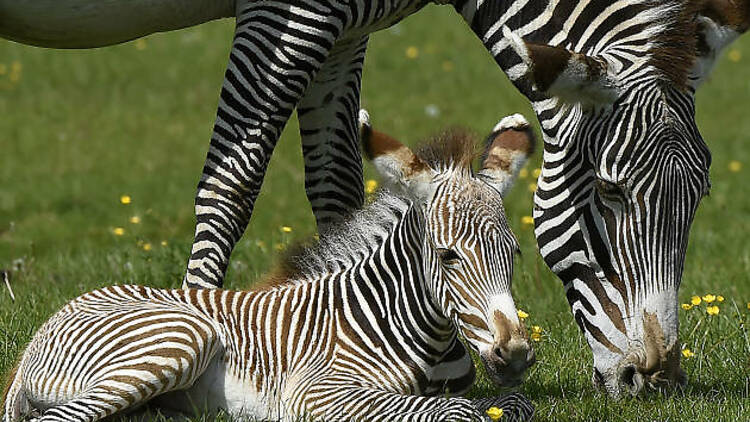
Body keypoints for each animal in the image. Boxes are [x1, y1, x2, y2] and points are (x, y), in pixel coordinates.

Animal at [1, 113, 540, 422]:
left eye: (513, 254)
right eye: (449, 256)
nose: (515, 356)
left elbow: (514, 402)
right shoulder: (315, 392)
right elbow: (455, 411)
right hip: (182, 336)